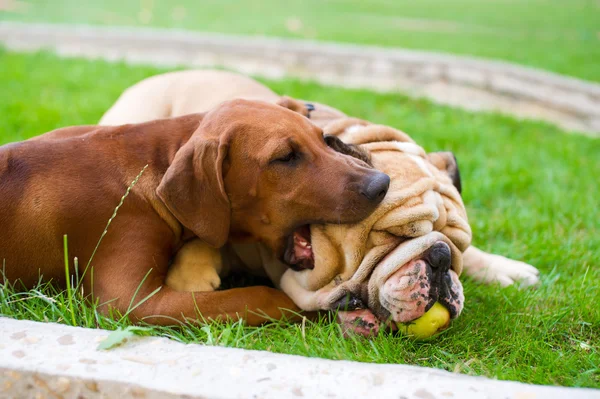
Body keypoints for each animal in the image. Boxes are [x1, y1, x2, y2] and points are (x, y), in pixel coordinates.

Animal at [0, 98, 392, 326]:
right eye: (285, 157)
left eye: (323, 138)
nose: (381, 183)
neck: (152, 162)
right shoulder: (130, 302)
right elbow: (260, 295)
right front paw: (323, 310)